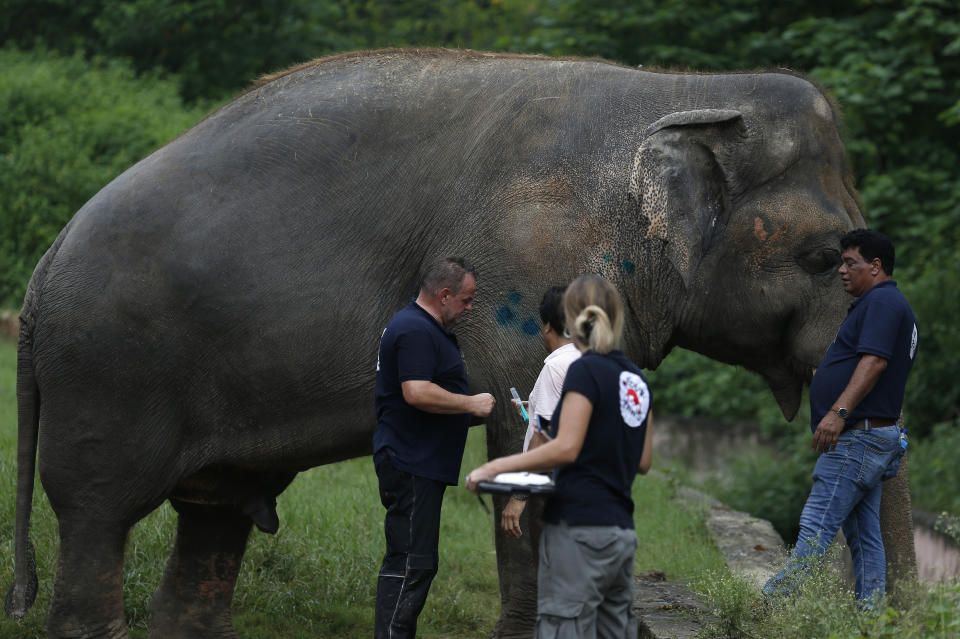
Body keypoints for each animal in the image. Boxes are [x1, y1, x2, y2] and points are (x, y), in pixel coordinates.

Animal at [5, 47, 908, 636]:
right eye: (823, 256)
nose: (891, 615)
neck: (682, 93)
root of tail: (43, 267)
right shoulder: (533, 264)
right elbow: (526, 435)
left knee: (212, 510)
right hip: (110, 373)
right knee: (99, 508)